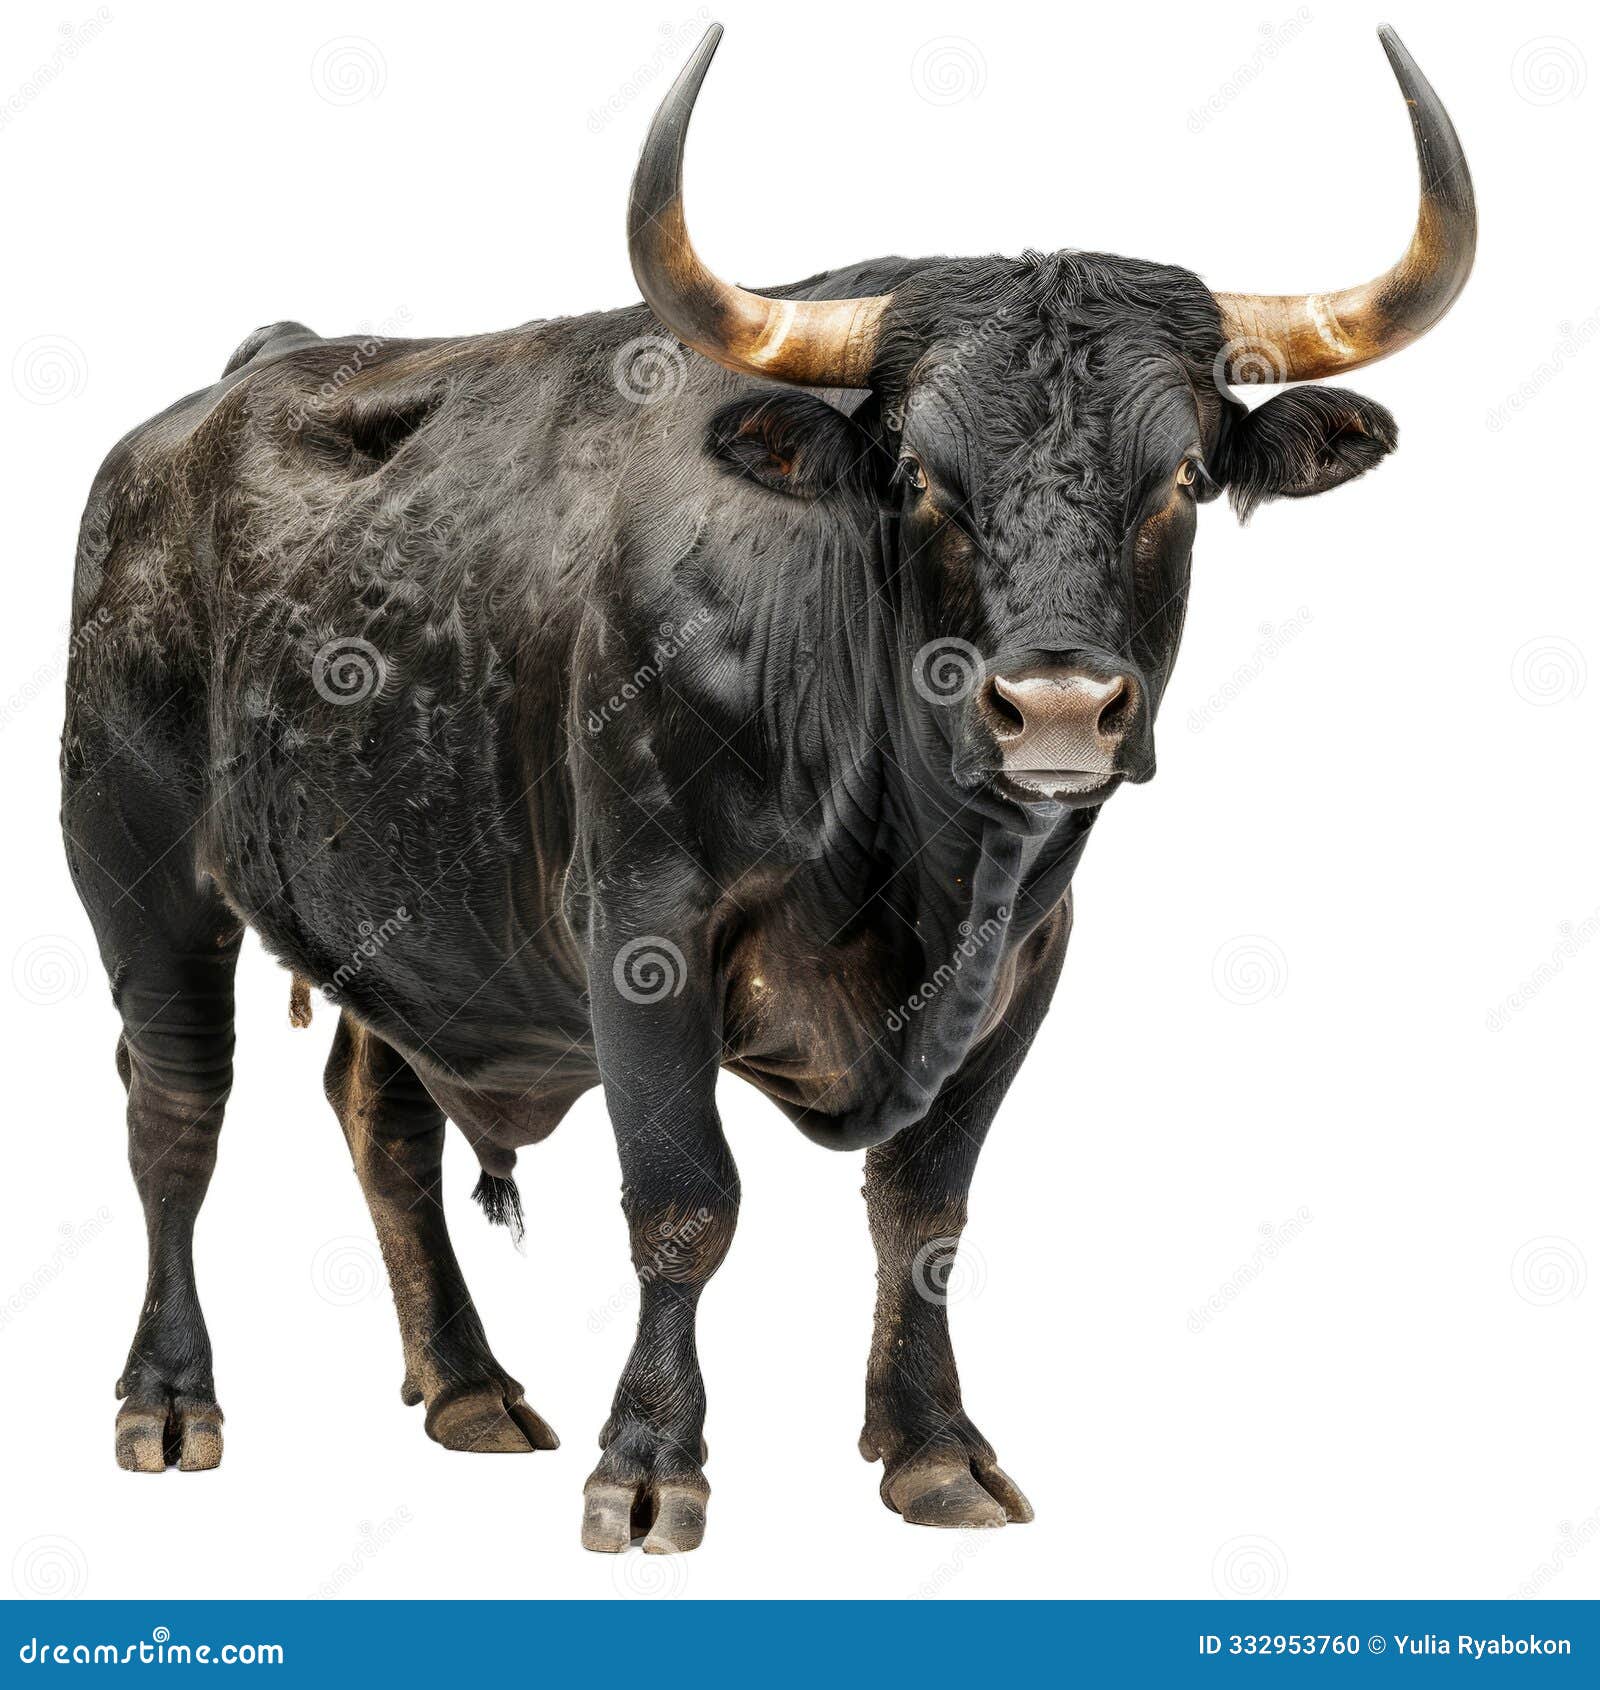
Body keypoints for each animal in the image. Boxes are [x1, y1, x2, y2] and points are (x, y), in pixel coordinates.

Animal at [59, 24, 1473, 1553]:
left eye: (1187, 475)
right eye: (917, 474)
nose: (1054, 709)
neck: (918, 858)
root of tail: (227, 392)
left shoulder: (1030, 960)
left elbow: (924, 1209)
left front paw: (933, 1448)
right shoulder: (643, 932)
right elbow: (685, 1200)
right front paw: (647, 1463)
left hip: (411, 915)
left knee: (379, 1109)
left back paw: (470, 1384)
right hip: (135, 870)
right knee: (176, 1115)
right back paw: (170, 1397)